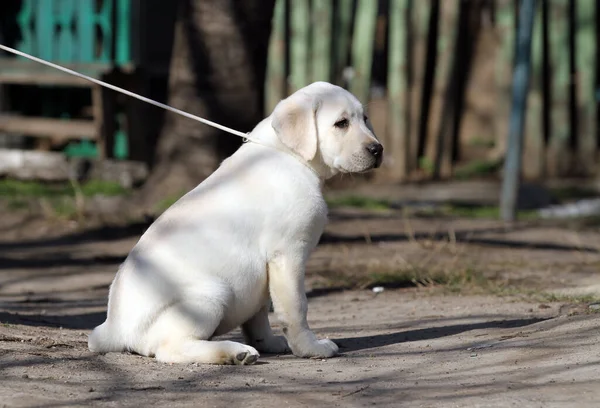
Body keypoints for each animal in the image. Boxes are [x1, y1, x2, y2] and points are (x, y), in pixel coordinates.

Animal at [89, 81, 384, 364]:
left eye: (365, 118)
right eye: (341, 123)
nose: (378, 149)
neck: (290, 156)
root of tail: (111, 329)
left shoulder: (264, 270)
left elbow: (259, 313)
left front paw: (268, 342)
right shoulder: (287, 254)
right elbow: (296, 308)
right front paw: (310, 348)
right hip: (211, 294)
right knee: (170, 349)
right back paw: (234, 353)